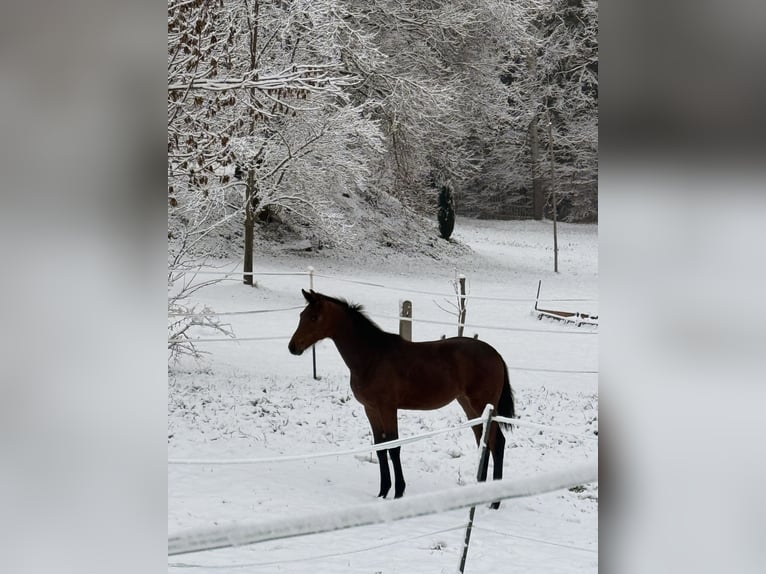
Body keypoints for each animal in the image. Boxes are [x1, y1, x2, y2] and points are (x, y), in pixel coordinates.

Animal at [288, 289, 515, 509]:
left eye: (314, 317)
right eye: (301, 315)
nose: (292, 347)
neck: (372, 357)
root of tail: (496, 355)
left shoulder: (388, 408)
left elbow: (394, 447)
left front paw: (398, 492)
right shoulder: (370, 409)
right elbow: (380, 448)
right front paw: (382, 492)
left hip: (482, 404)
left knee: (497, 442)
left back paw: (495, 502)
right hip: (469, 405)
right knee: (483, 441)